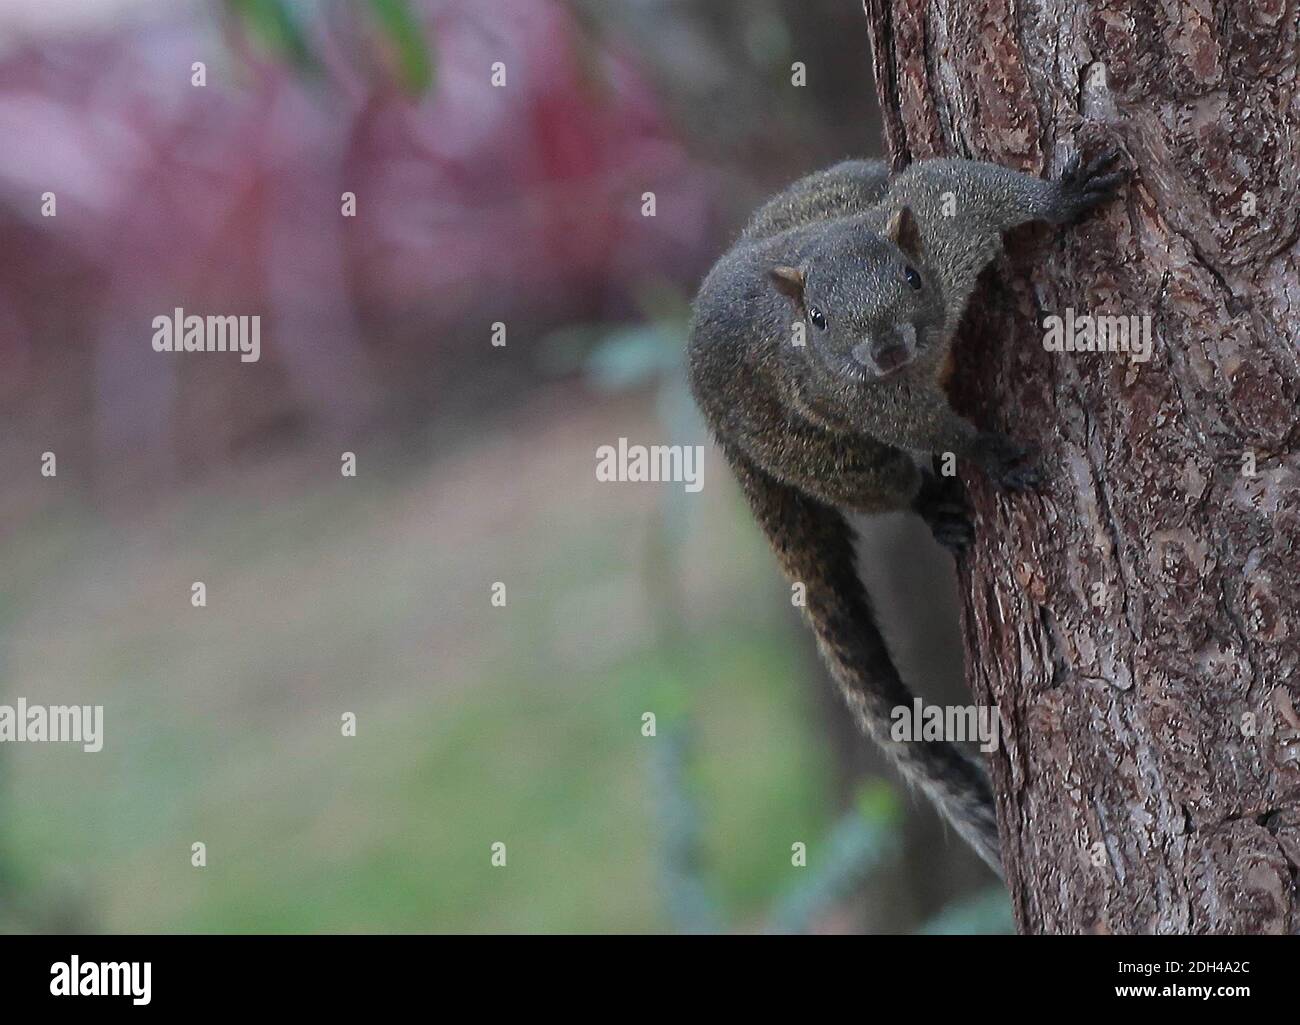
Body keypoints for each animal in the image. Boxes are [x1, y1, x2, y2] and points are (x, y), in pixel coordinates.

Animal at [691, 152, 1128, 874]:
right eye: (817, 319)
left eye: (910, 276)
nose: (886, 350)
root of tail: (713, 417)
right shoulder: (867, 399)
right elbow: (935, 429)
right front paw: (990, 453)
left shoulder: (941, 219)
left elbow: (969, 183)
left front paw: (1062, 197)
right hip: (812, 450)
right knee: (882, 479)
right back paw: (932, 504)